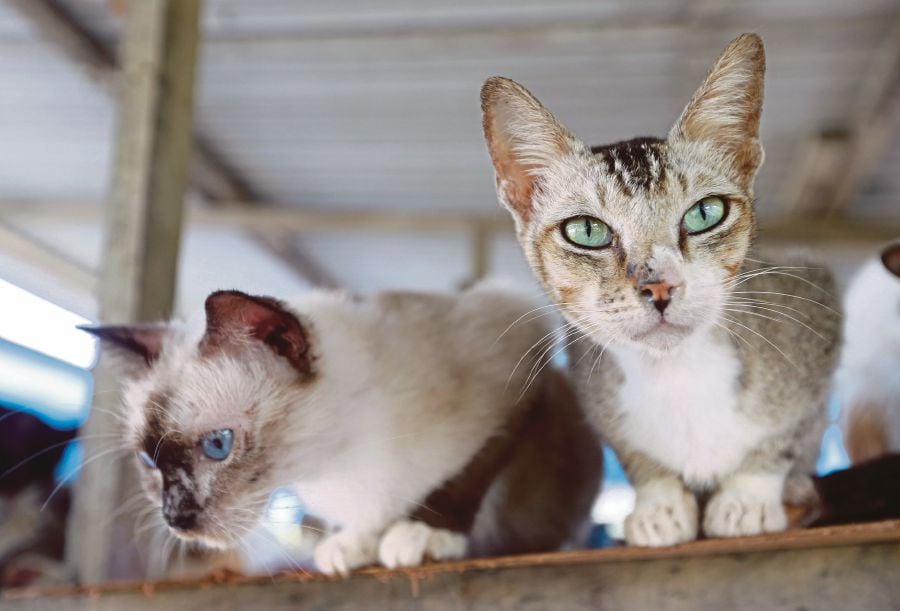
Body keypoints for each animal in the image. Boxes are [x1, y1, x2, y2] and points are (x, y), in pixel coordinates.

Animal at [86, 286, 604, 572]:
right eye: (148, 461)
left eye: (217, 445)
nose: (176, 518)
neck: (334, 460)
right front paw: (353, 545)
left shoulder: (523, 363)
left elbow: (467, 475)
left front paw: (421, 535)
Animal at [482, 34, 840, 548]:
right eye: (587, 230)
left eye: (705, 213)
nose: (660, 285)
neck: (677, 374)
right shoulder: (593, 385)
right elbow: (636, 455)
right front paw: (660, 503)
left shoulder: (815, 301)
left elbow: (787, 432)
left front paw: (748, 496)